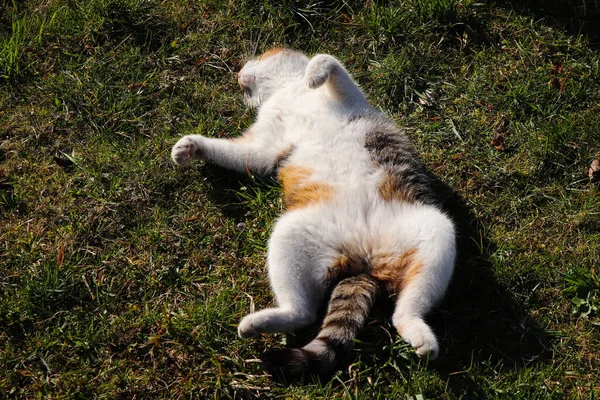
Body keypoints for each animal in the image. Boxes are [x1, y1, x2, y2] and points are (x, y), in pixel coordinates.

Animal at [171, 48, 458, 376]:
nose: (237, 75)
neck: (288, 92)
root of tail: (364, 260)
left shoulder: (351, 96)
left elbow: (328, 59)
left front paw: (314, 74)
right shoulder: (266, 146)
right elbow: (242, 155)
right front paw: (190, 148)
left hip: (436, 230)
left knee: (405, 307)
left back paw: (420, 335)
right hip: (294, 232)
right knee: (305, 312)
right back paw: (259, 323)